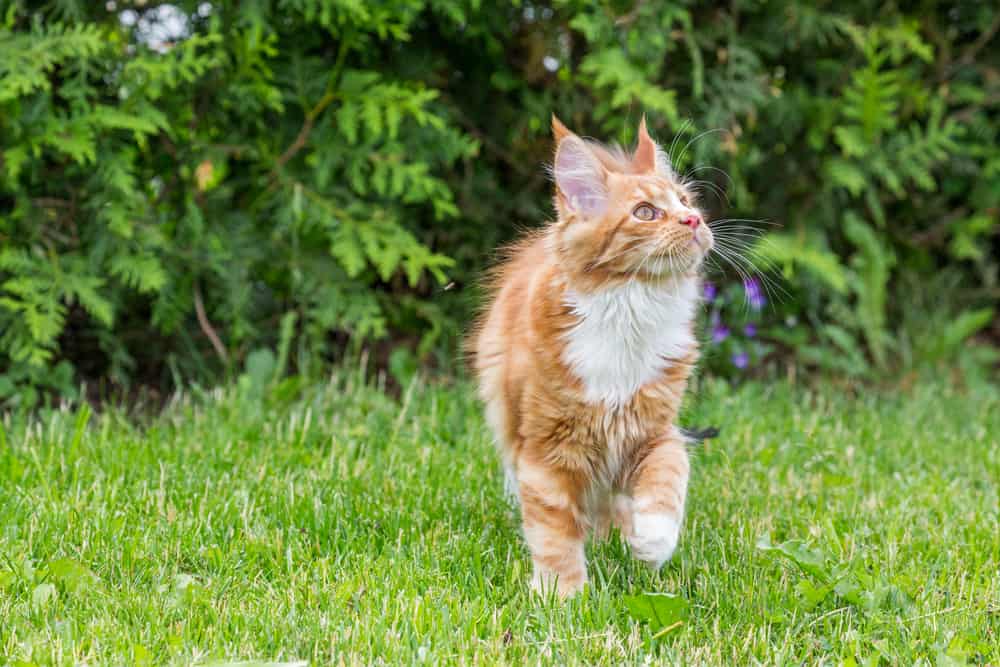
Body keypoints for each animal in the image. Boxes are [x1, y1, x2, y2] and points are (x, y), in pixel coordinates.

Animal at [470, 116, 712, 600]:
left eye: (684, 201)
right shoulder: (547, 450)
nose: (694, 219)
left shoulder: (654, 432)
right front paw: (563, 596)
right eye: (645, 213)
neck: (630, 310)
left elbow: (668, 480)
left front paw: (651, 541)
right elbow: (554, 532)